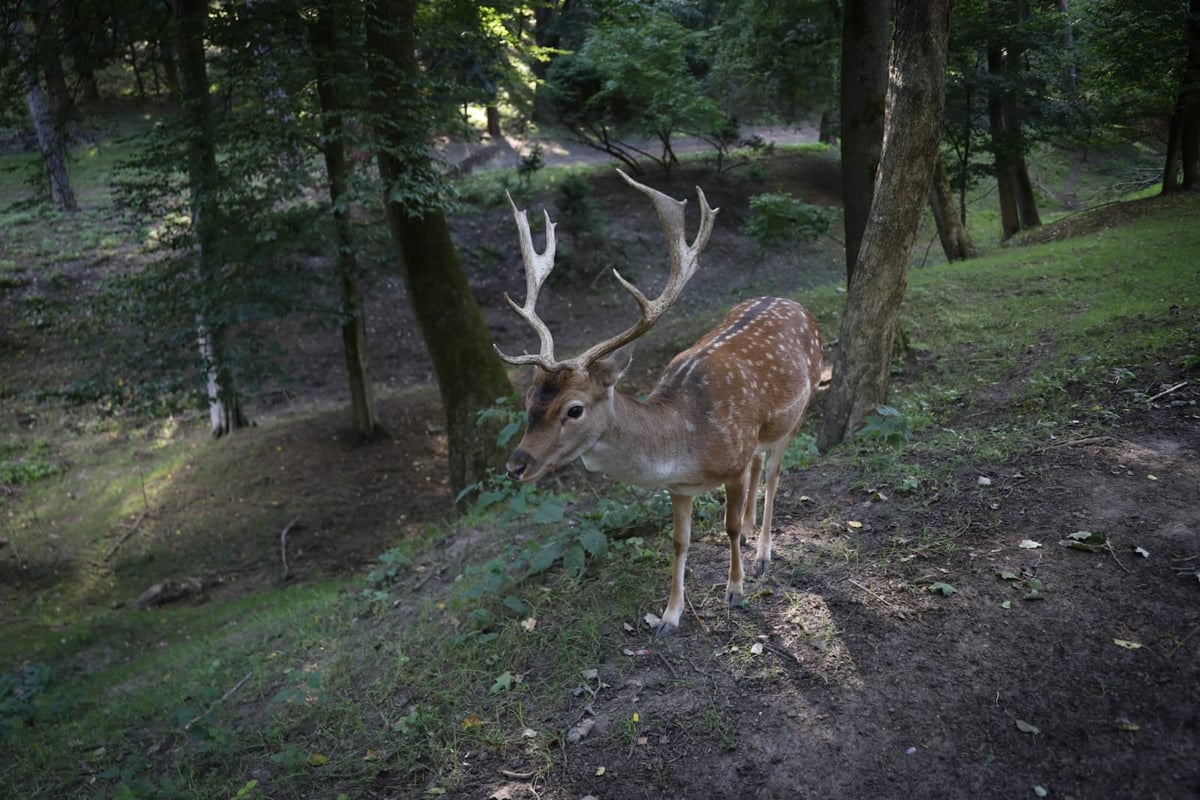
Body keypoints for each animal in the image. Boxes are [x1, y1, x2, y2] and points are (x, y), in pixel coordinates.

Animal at [492, 170, 820, 638]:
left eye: (574, 409)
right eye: (529, 398)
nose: (515, 466)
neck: (687, 442)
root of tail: (797, 305)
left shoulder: (733, 463)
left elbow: (727, 527)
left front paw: (735, 591)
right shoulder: (678, 488)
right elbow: (679, 542)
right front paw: (669, 616)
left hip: (799, 410)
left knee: (775, 474)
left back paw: (762, 554)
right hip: (763, 431)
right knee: (761, 466)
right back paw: (754, 533)